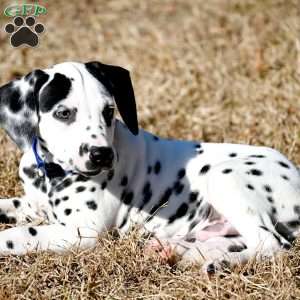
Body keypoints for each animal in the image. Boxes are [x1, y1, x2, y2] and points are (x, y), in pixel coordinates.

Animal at [0, 61, 300, 274]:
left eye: (109, 111)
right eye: (63, 113)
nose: (102, 155)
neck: (50, 173)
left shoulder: (82, 232)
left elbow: (19, 234)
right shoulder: (33, 205)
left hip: (223, 177)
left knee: (271, 243)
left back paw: (222, 262)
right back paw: (186, 252)